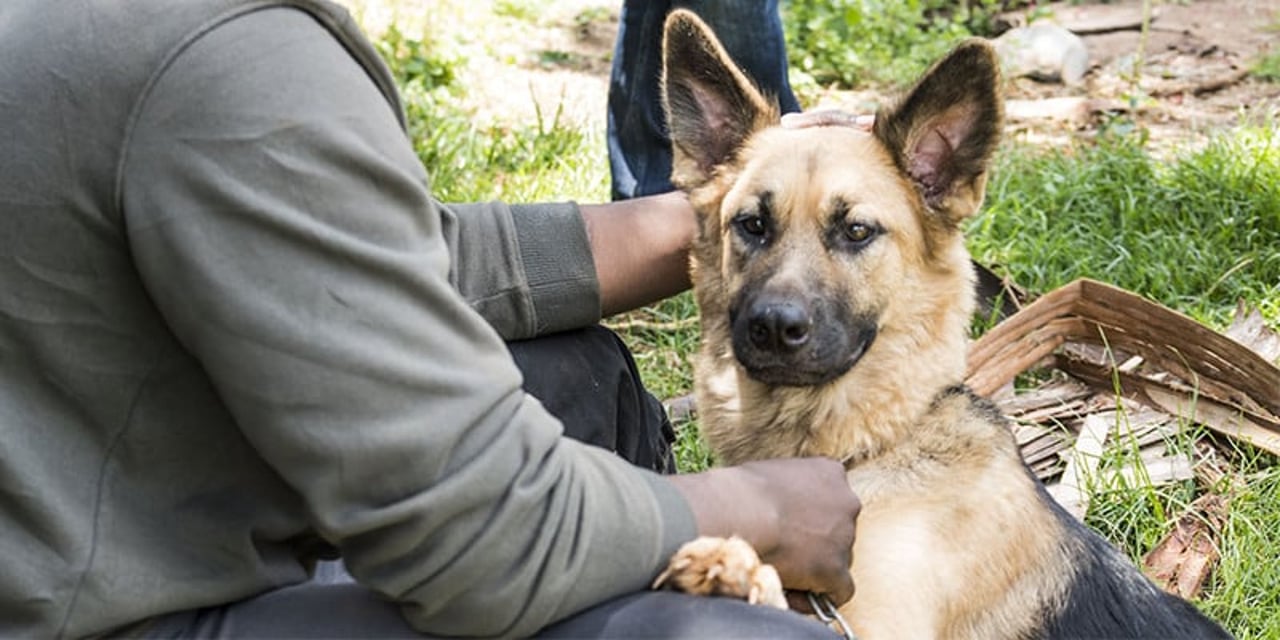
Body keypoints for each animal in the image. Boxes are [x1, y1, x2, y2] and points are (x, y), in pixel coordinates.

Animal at [660, 10, 1228, 640]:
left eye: (856, 231)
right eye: (752, 224)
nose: (774, 328)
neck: (870, 449)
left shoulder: (878, 623)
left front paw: (734, 567)